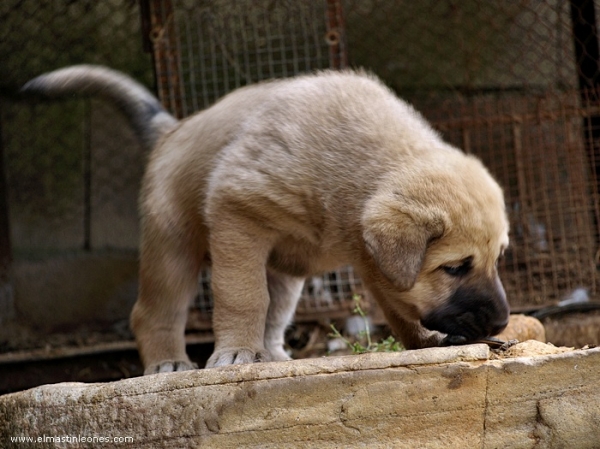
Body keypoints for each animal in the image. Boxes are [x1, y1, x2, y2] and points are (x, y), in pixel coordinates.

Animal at [24, 65, 510, 372]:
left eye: (496, 260)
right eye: (454, 267)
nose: (502, 323)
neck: (356, 167)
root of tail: (173, 129)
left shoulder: (371, 258)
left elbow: (400, 306)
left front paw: (427, 342)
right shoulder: (237, 216)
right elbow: (243, 297)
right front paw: (235, 353)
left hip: (286, 272)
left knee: (275, 315)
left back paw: (271, 356)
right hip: (172, 247)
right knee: (153, 311)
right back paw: (168, 362)